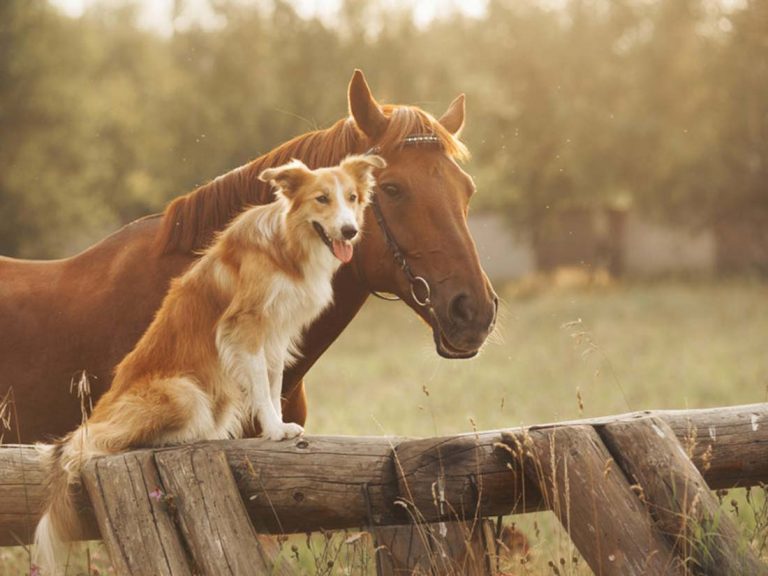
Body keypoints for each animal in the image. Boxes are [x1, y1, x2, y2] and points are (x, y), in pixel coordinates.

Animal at [33, 152, 388, 572]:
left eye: (352, 197)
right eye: (322, 199)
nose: (350, 231)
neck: (286, 245)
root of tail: (99, 413)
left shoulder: (276, 334)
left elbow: (272, 383)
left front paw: (278, 425)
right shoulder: (245, 327)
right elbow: (261, 387)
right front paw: (274, 430)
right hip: (184, 393)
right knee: (98, 442)